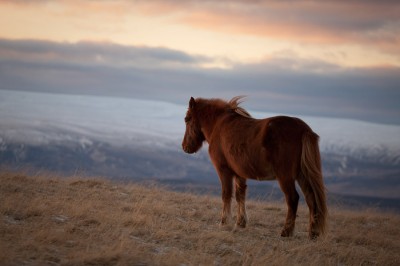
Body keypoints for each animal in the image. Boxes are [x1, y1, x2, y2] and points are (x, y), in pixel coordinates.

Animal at [183, 95, 326, 239]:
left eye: (187, 119)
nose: (185, 147)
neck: (219, 125)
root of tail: (304, 130)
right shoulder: (239, 174)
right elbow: (240, 195)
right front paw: (240, 222)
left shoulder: (223, 170)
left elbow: (226, 194)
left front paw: (224, 222)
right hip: (302, 175)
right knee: (311, 199)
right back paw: (312, 233)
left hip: (286, 177)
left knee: (293, 199)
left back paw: (286, 231)